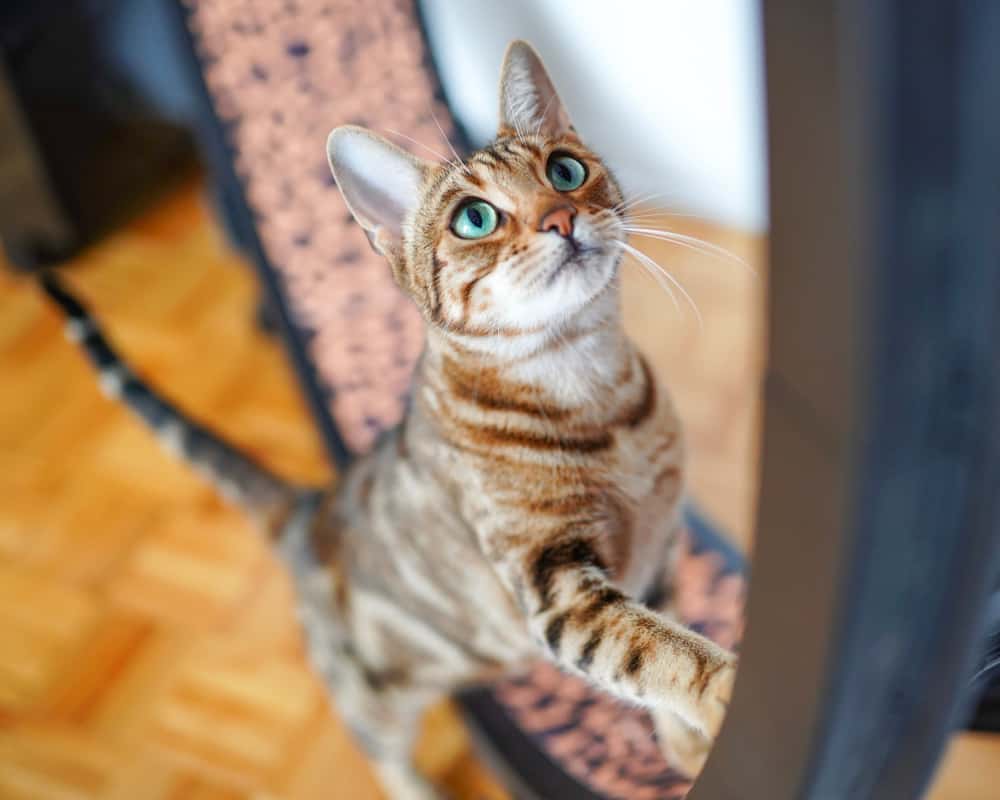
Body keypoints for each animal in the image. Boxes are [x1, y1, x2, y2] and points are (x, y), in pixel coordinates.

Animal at [45, 39, 736, 800]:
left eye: (565, 170)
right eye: (474, 219)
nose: (560, 218)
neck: (591, 392)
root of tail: (307, 507)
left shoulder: (663, 549)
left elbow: (663, 641)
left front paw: (687, 749)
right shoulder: (554, 588)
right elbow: (656, 651)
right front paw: (721, 692)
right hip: (376, 694)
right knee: (378, 749)